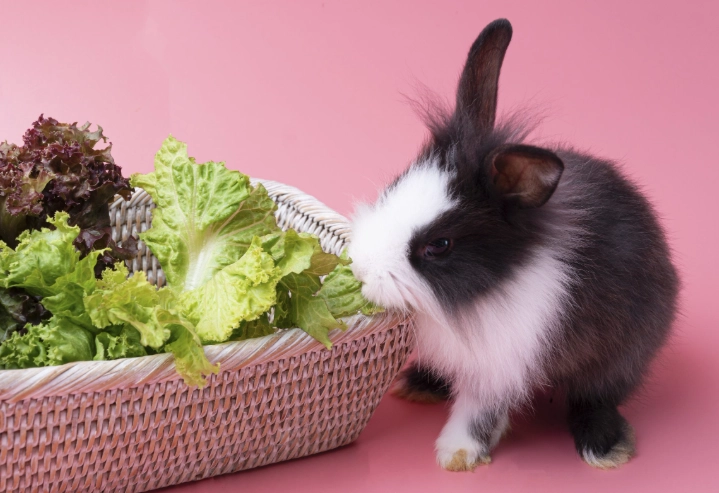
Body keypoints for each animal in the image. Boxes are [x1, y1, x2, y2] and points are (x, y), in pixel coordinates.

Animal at [347, 18, 679, 471]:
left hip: (624, 355)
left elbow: (479, 411)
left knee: (597, 397)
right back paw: (418, 385)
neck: (481, 293)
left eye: (440, 245)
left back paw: (604, 448)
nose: (361, 269)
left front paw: (457, 455)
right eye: (393, 187)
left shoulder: (501, 363)